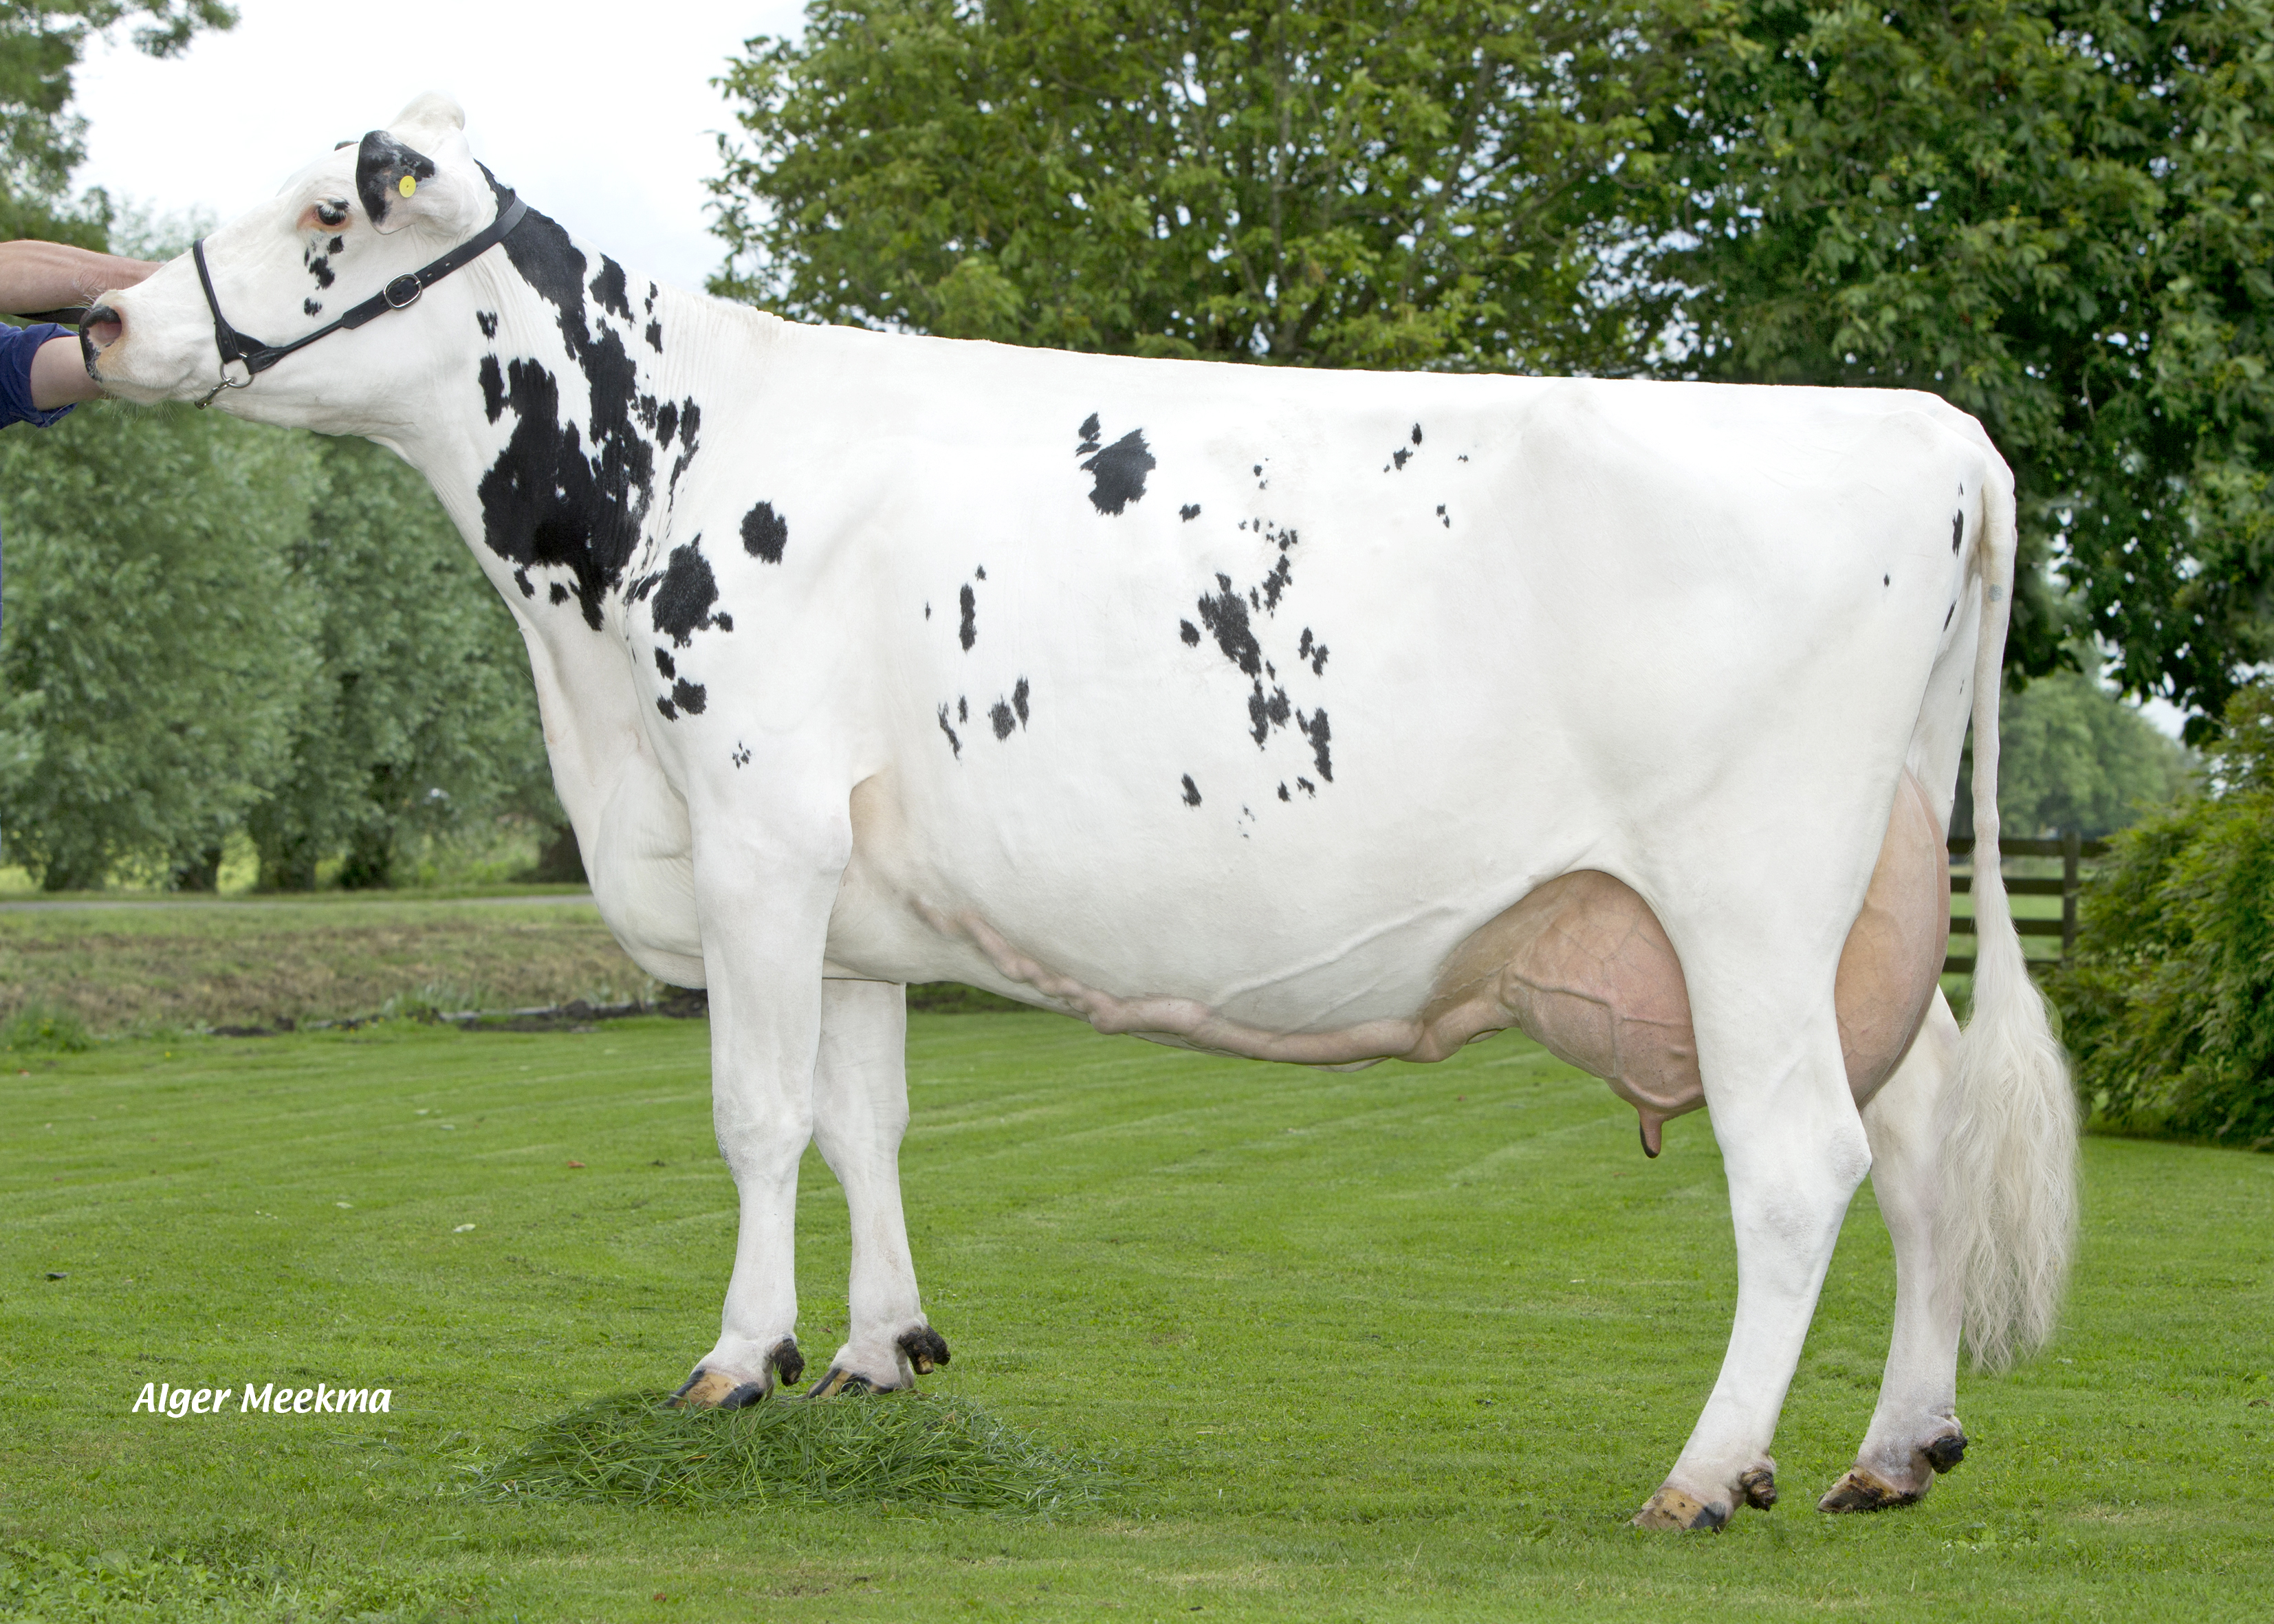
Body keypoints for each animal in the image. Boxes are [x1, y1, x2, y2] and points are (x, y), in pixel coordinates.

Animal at [84, 98, 2083, 1519]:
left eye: (328, 217)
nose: (100, 318)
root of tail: (1930, 429)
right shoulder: (849, 890)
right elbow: (862, 1120)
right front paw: (877, 1357)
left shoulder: (753, 833)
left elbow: (755, 1118)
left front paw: (737, 1361)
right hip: (1859, 914)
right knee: (1918, 1142)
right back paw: (1893, 1447)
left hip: (1744, 901)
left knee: (1801, 1163)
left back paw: (1703, 1470)